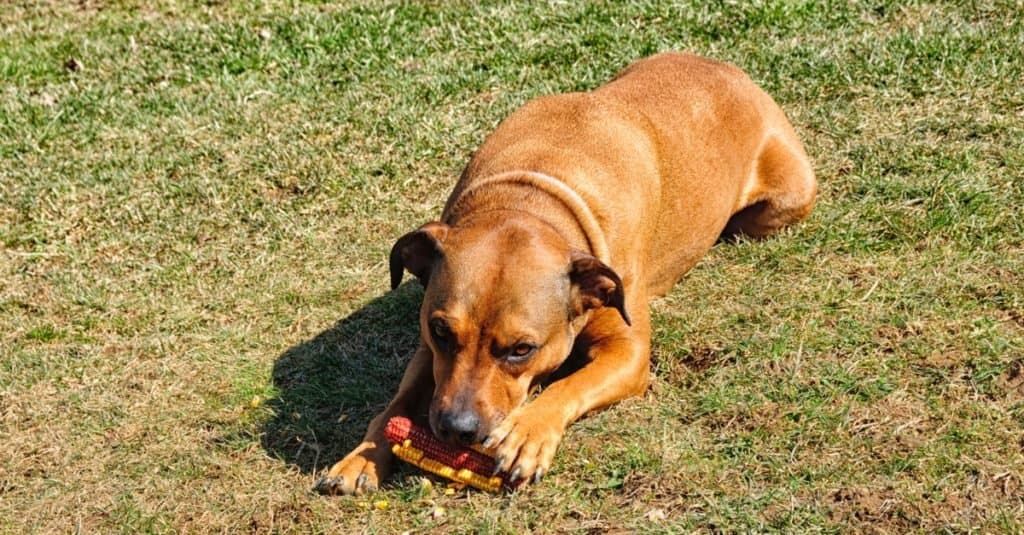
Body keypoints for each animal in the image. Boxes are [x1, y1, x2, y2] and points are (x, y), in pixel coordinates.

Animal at [315, 52, 811, 494]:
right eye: (440, 331)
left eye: (521, 349)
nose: (458, 428)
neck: (533, 195)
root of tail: (732, 72)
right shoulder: (429, 349)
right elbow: (398, 400)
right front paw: (362, 457)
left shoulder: (629, 353)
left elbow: (570, 385)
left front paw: (526, 433)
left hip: (786, 199)